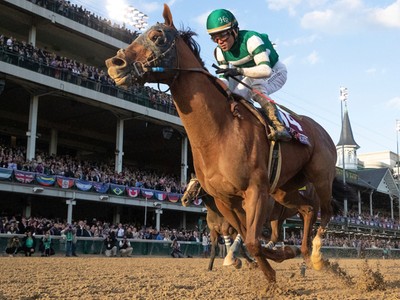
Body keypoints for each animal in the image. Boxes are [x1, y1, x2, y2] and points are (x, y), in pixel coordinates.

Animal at [104, 3, 336, 282]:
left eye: (157, 37)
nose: (114, 64)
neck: (219, 133)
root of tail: (322, 131)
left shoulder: (256, 191)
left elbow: (253, 241)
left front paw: (268, 269)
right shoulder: (226, 201)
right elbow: (248, 239)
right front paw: (270, 262)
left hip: (320, 177)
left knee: (327, 211)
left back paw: (317, 254)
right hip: (284, 189)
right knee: (309, 210)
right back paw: (303, 252)